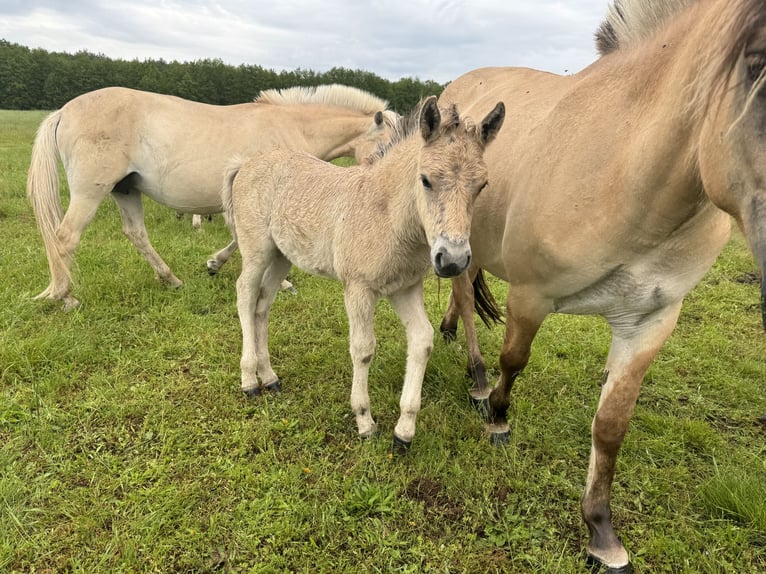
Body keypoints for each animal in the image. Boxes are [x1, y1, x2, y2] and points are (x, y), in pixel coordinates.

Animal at [27, 84, 400, 310]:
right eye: (387, 147)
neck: (293, 127)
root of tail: (64, 111)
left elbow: (238, 238)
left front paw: (214, 264)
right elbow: (249, 240)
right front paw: (281, 283)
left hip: (125, 189)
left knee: (136, 234)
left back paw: (171, 280)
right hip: (91, 192)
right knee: (65, 238)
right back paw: (66, 297)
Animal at [225, 97, 508, 452]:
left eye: (482, 185)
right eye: (425, 179)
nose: (453, 261)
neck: (387, 215)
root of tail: (246, 164)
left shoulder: (404, 288)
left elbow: (423, 340)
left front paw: (404, 432)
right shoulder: (358, 289)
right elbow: (363, 349)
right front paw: (365, 421)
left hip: (281, 257)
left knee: (262, 305)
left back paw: (270, 377)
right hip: (257, 251)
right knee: (245, 296)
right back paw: (249, 380)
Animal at [438, 0, 766, 572]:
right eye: (755, 63)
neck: (626, 172)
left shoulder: (651, 319)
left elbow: (612, 424)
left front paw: (601, 532)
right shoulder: (531, 296)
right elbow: (514, 360)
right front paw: (498, 417)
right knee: (466, 303)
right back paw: (476, 381)